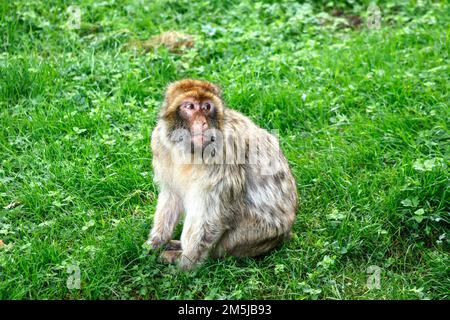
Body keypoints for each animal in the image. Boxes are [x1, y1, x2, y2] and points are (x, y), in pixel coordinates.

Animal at [146, 79, 298, 268]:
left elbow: (211, 215)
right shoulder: (159, 144)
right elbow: (171, 195)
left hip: (248, 237)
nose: (202, 123)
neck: (188, 151)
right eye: (190, 106)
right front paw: (155, 243)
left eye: (207, 107)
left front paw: (185, 266)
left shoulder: (223, 155)